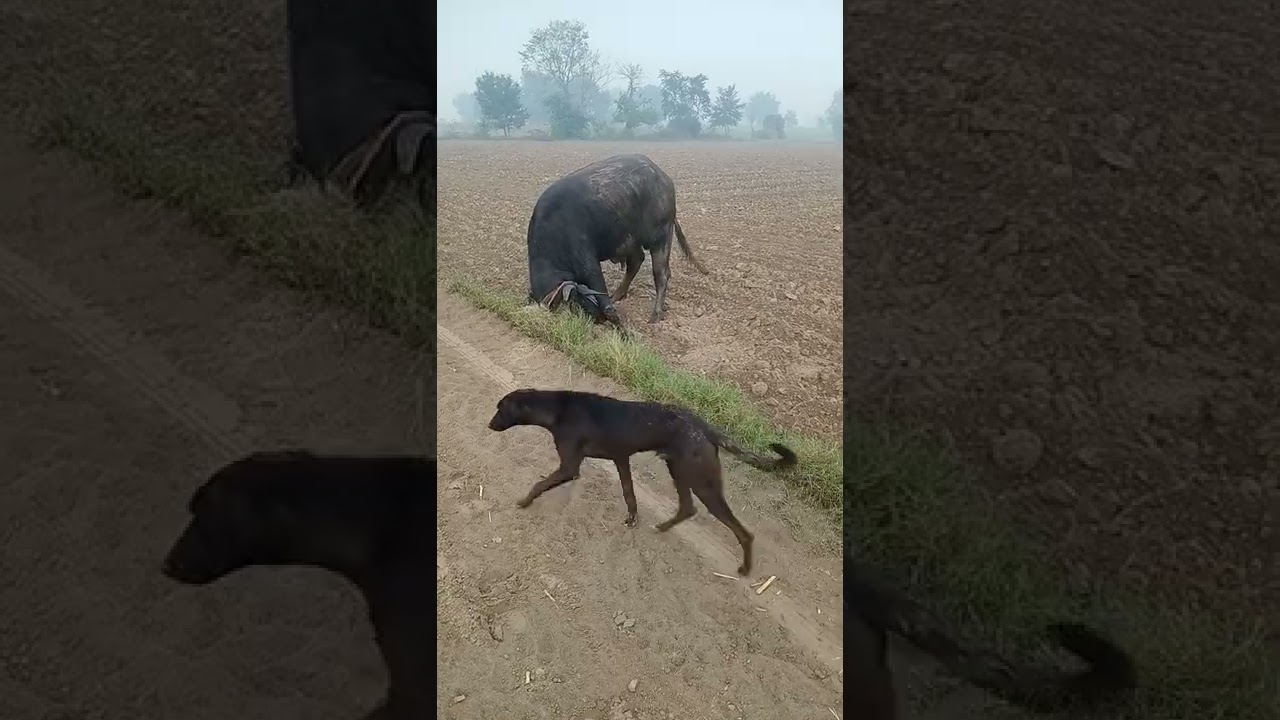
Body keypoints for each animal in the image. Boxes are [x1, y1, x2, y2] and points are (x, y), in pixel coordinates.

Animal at [526, 153, 710, 327]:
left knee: (661, 272)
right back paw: (617, 295)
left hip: (661, 235)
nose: (597, 318)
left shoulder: (587, 259)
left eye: (572, 300)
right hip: (630, 241)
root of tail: (665, 179)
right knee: (636, 261)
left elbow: (601, 292)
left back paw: (655, 316)